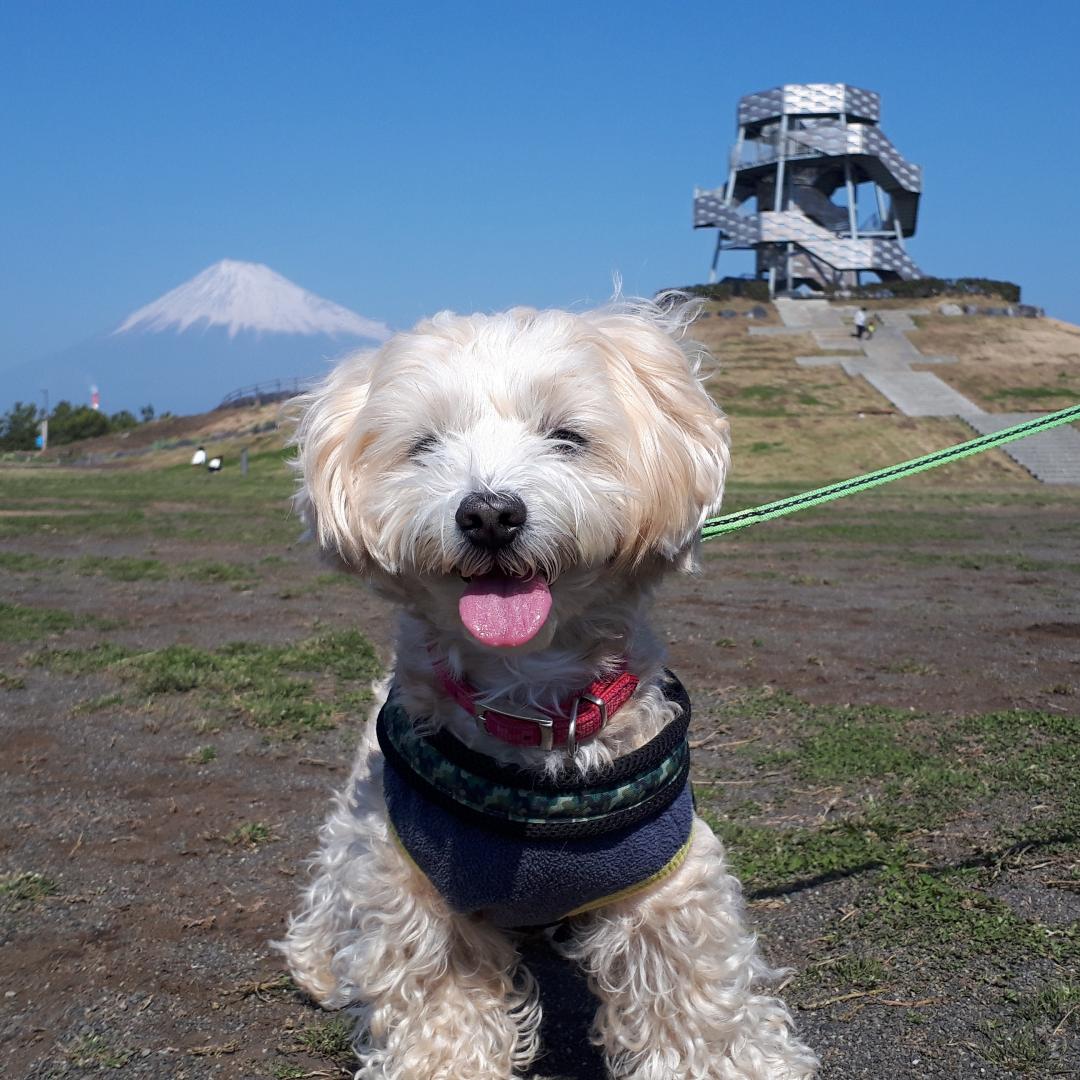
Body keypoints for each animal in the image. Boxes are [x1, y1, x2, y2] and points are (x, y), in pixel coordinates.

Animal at [278, 298, 816, 1080]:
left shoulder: (666, 884)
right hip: (359, 820)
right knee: (329, 884)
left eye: (567, 436)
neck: (531, 703)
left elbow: (692, 999)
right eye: (425, 445)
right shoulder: (416, 890)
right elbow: (441, 1010)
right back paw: (320, 963)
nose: (489, 513)